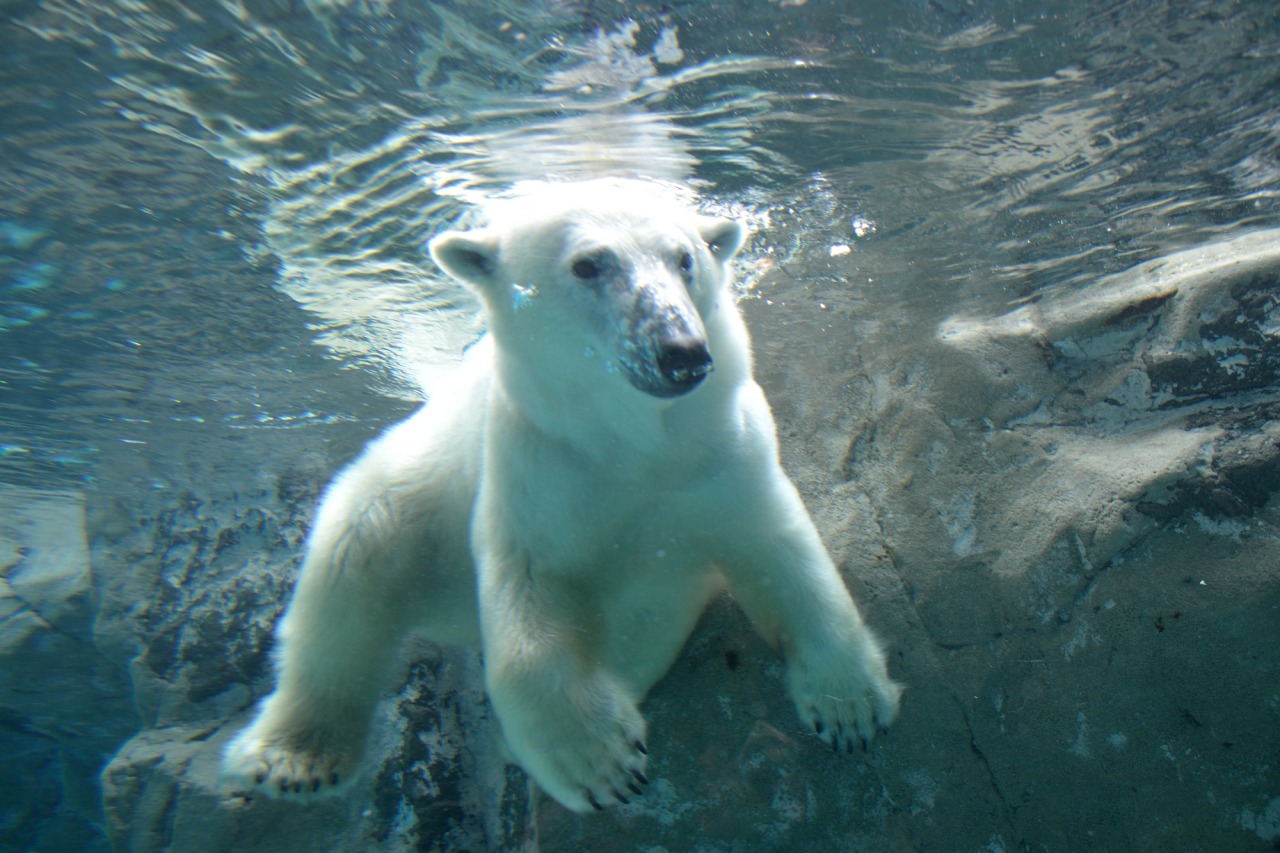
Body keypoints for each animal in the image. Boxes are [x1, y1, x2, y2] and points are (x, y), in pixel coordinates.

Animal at [222, 178, 901, 809]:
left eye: (685, 257)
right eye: (588, 264)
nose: (681, 351)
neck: (636, 443)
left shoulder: (723, 456)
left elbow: (784, 554)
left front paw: (849, 707)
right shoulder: (539, 468)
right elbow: (530, 598)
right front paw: (600, 763)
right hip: (418, 492)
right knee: (352, 568)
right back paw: (294, 757)